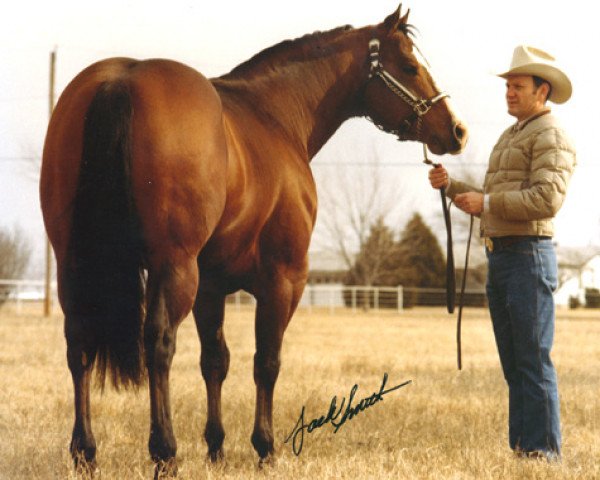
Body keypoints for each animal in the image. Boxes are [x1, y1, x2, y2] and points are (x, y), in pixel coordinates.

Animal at [39, 3, 466, 476]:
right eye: (409, 66)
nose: (456, 130)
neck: (274, 116)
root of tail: (121, 81)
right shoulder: (283, 280)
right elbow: (267, 361)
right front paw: (265, 447)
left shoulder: (211, 286)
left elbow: (215, 361)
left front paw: (217, 448)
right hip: (173, 268)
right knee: (160, 345)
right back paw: (165, 451)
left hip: (75, 265)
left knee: (78, 344)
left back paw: (85, 452)